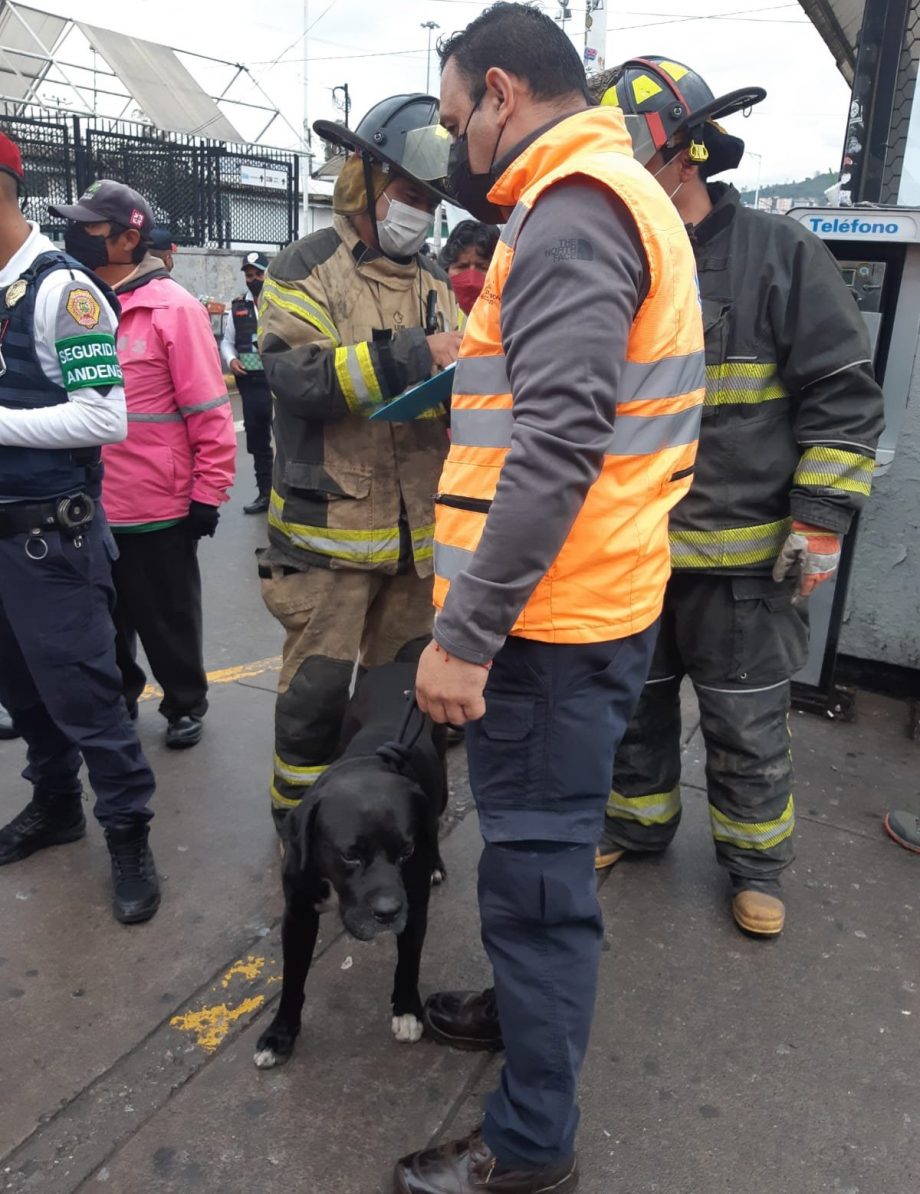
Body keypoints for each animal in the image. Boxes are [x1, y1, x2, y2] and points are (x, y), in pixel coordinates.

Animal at [254, 663, 448, 1074]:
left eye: (406, 851)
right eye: (349, 855)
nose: (388, 912)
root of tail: (401, 665)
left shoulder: (414, 904)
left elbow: (409, 959)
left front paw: (407, 1010)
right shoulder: (297, 914)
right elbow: (293, 978)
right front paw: (280, 1034)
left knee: (436, 820)